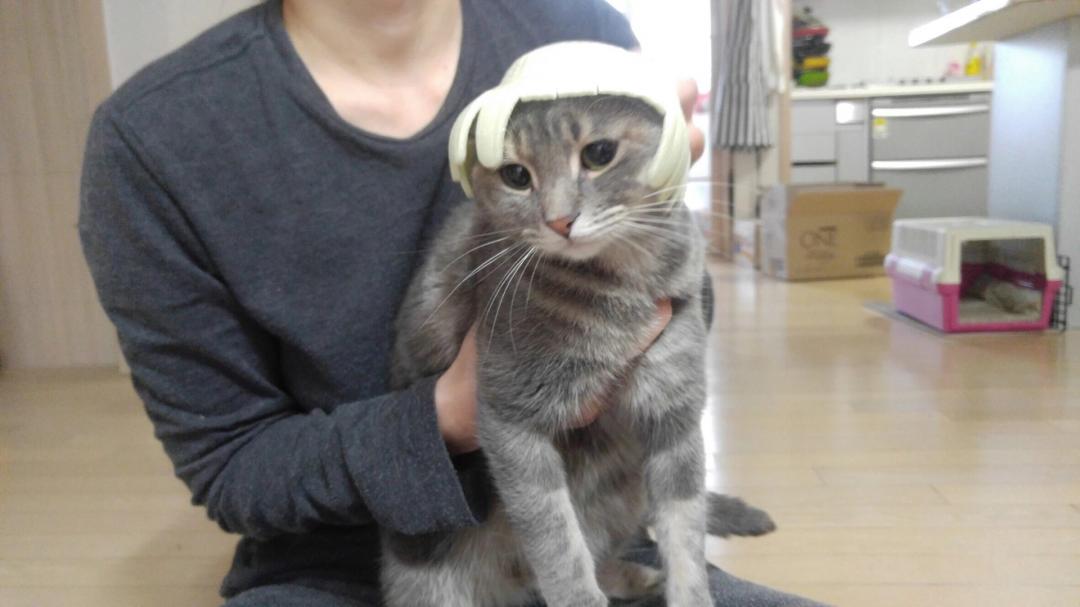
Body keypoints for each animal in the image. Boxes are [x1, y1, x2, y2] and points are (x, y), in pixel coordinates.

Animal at [384, 94, 771, 607]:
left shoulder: (676, 415)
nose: (559, 219)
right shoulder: (511, 419)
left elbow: (685, 537)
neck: (621, 287)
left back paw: (639, 577)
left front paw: (688, 590)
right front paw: (579, 592)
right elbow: (558, 544)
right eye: (516, 175)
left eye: (599, 153)